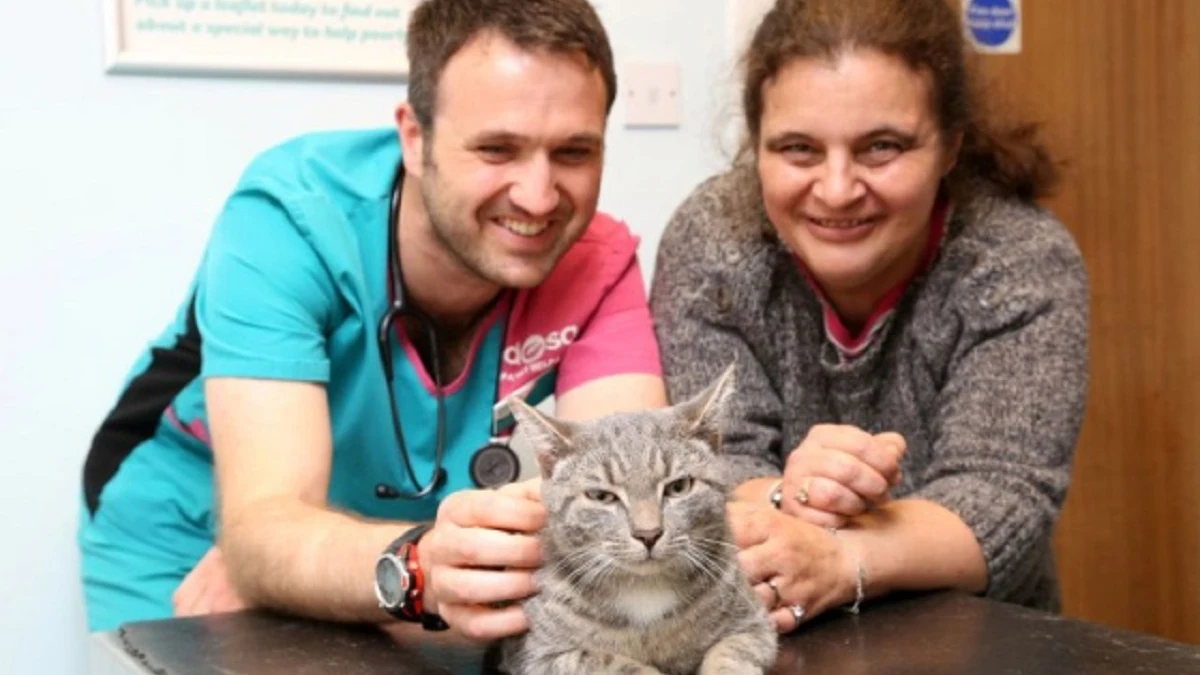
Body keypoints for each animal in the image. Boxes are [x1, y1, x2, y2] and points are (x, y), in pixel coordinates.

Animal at [496, 365, 777, 672]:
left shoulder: (754, 625)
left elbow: (731, 654)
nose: (648, 534)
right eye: (601, 496)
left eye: (679, 487)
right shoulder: (537, 656)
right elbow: (610, 661)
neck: (646, 590)